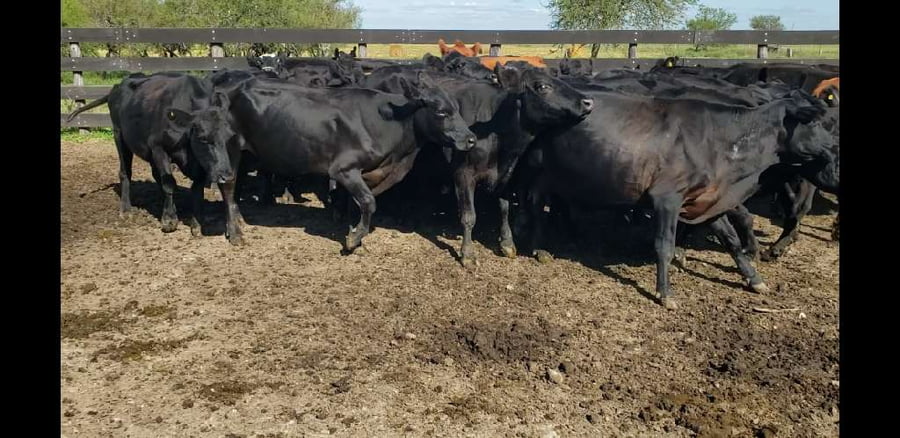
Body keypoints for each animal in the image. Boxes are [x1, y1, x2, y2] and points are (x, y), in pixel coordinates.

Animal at [65, 72, 238, 241]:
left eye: (230, 136)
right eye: (203, 138)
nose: (227, 176)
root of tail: (118, 86)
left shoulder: (201, 162)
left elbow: (197, 187)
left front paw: (196, 223)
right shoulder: (158, 148)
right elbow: (168, 182)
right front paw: (169, 219)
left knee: (156, 175)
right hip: (119, 135)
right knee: (125, 172)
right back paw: (126, 209)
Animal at [217, 72, 477, 253]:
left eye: (457, 108)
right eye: (441, 112)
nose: (471, 139)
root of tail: (232, 84)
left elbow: (357, 204)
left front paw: (356, 236)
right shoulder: (343, 169)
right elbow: (369, 202)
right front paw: (353, 240)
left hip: (249, 152)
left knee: (237, 184)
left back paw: (239, 220)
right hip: (229, 147)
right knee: (228, 185)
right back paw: (236, 234)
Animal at [521, 80, 837, 308]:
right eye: (815, 122)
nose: (835, 147)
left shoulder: (706, 201)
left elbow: (732, 242)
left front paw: (754, 279)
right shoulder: (667, 199)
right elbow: (664, 245)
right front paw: (665, 293)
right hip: (536, 171)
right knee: (535, 205)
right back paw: (539, 248)